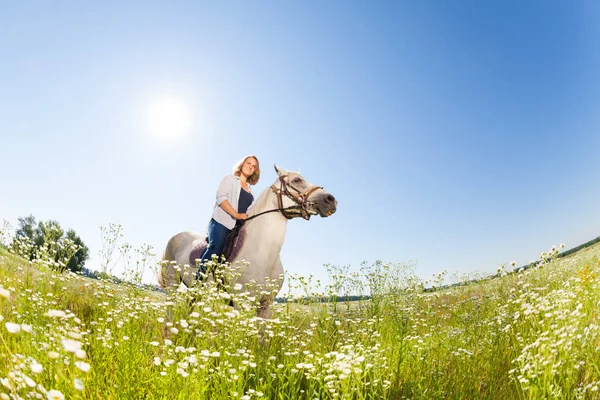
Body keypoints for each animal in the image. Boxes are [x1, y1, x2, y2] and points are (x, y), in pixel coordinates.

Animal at [158, 164, 338, 318]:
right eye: (297, 180)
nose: (331, 200)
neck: (263, 252)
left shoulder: (266, 305)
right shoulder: (242, 305)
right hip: (173, 285)